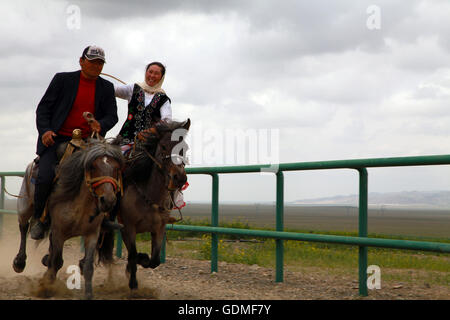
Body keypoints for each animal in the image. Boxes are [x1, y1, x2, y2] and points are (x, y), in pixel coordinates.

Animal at [13, 139, 124, 298]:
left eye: (116, 168)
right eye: (93, 167)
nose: (108, 200)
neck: (81, 204)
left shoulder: (92, 235)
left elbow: (88, 266)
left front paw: (88, 294)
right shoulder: (59, 233)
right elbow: (56, 261)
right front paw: (46, 288)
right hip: (25, 206)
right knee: (23, 227)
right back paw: (19, 262)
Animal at [118, 119, 190, 290]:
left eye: (184, 148)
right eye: (163, 146)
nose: (179, 178)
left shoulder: (159, 229)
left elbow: (155, 260)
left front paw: (142, 259)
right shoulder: (128, 228)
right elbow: (132, 254)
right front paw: (133, 282)